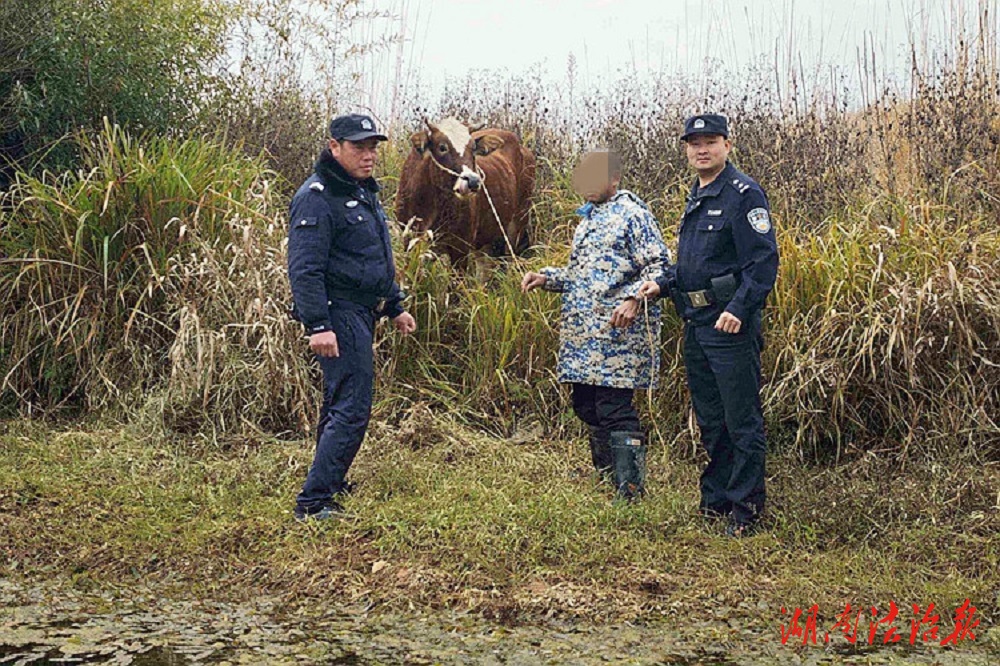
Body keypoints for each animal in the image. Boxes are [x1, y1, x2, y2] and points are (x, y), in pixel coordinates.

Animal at [394, 118, 536, 264]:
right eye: (442, 147)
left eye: (473, 148)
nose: (473, 180)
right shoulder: (410, 242)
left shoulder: (461, 246)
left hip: (518, 222)